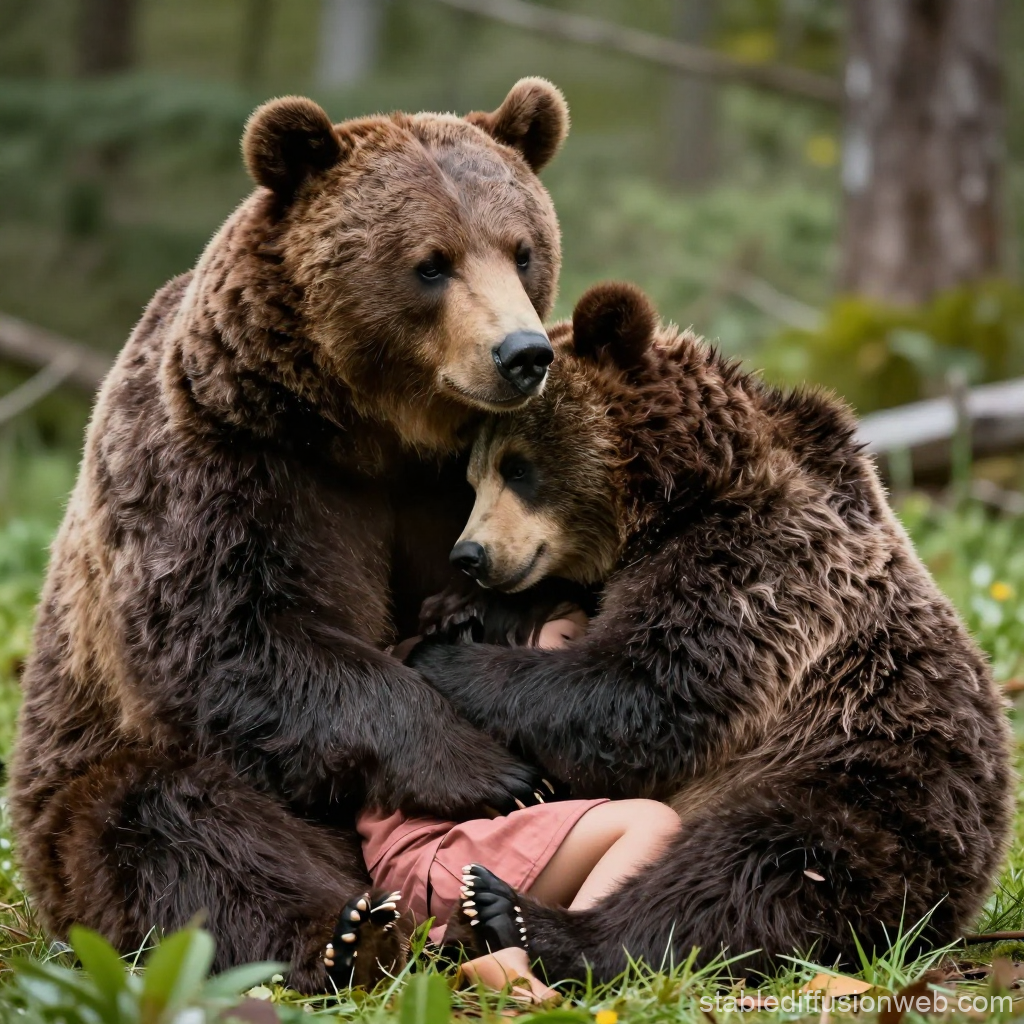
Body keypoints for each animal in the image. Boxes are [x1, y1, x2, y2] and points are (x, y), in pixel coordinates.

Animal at [9, 80, 570, 993]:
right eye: (432, 261)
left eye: (522, 251)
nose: (521, 353)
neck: (375, 433)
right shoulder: (231, 457)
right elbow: (235, 636)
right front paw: (495, 771)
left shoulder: (459, 477)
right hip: (77, 803)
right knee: (165, 822)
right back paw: (347, 933)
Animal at [408, 281, 1015, 980]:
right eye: (474, 476)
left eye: (518, 467)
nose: (470, 555)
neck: (681, 494)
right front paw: (457, 611)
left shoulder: (758, 568)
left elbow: (644, 693)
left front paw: (442, 655)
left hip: (867, 784)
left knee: (752, 872)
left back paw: (525, 918)